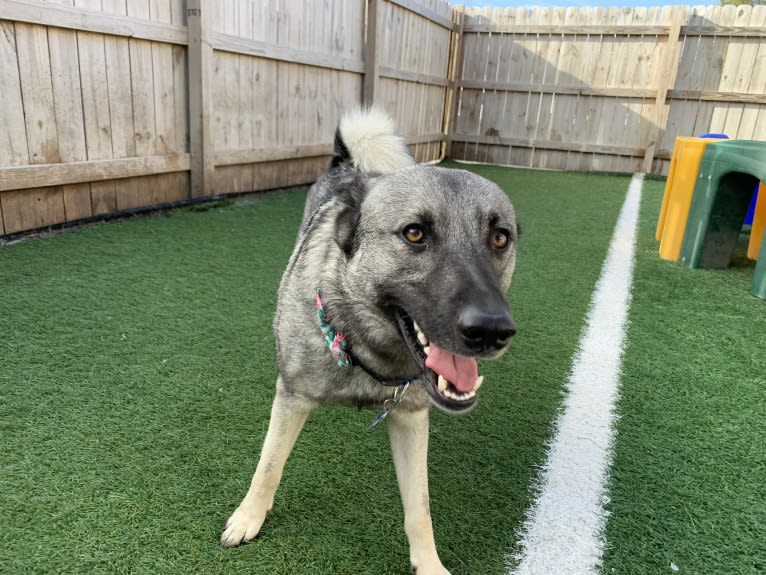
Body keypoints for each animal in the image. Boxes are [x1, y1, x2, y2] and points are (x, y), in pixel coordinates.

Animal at [222, 109, 520, 575]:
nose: (491, 330)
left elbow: (420, 508)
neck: (365, 347)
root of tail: (348, 165)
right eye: (414, 233)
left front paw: (428, 564)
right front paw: (248, 517)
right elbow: (268, 465)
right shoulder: (292, 397)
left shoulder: (412, 417)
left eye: (500, 238)